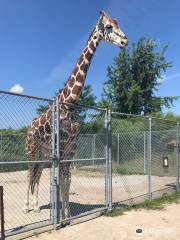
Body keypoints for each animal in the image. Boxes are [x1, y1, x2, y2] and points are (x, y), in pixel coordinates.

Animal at [23, 10, 128, 218]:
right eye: (109, 26)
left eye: (118, 23)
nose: (124, 41)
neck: (70, 104)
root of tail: (29, 128)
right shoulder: (62, 145)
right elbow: (62, 178)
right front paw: (62, 214)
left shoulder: (72, 146)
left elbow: (67, 179)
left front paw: (67, 213)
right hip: (31, 149)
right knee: (30, 172)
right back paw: (26, 206)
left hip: (42, 152)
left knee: (37, 174)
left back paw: (37, 206)